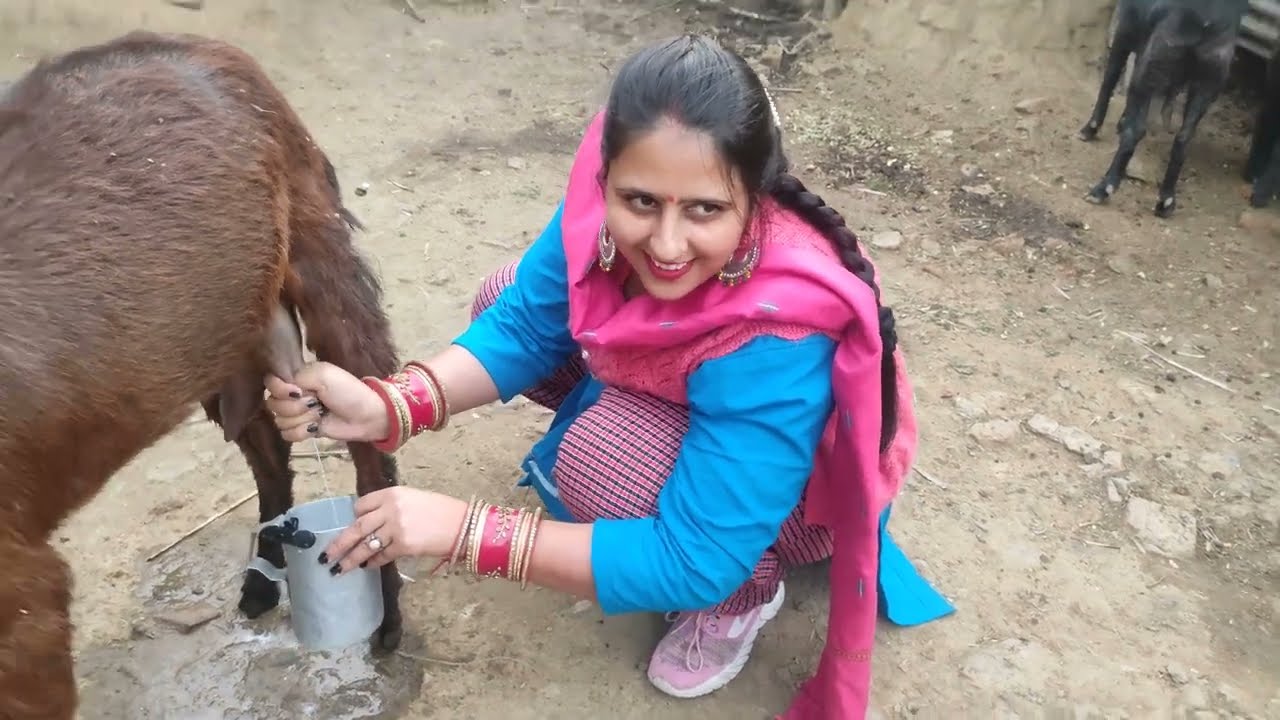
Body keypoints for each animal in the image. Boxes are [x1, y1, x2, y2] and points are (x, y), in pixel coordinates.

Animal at [0, 31, 405, 719]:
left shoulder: (26, 597)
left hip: (318, 245)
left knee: (369, 423)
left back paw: (390, 618)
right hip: (228, 331)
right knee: (268, 449)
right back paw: (264, 579)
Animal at [1077, 0, 1250, 217]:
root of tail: (1207, 19)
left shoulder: (1126, 29)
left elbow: (1109, 79)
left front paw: (1089, 129)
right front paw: (1121, 120)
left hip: (1155, 63)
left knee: (1136, 130)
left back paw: (1102, 189)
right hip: (1209, 81)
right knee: (1183, 138)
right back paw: (1166, 201)